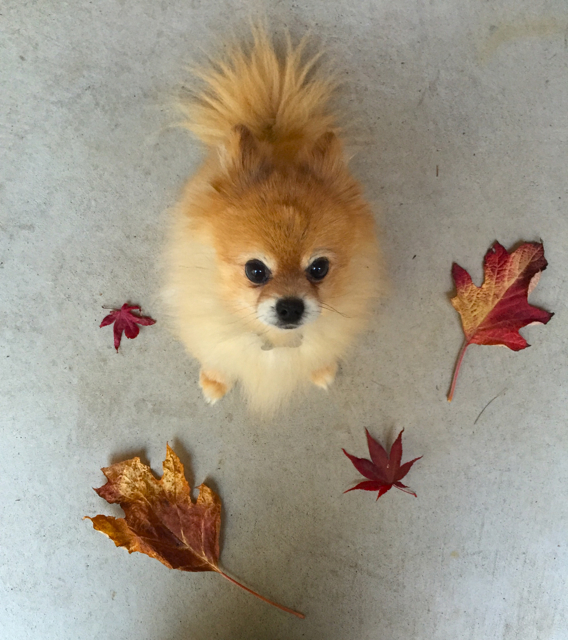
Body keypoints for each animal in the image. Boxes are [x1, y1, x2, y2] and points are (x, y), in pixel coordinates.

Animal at [163, 28, 378, 416]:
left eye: (319, 268)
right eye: (255, 270)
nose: (290, 306)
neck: (277, 342)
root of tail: (274, 134)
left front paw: (320, 370)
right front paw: (214, 382)